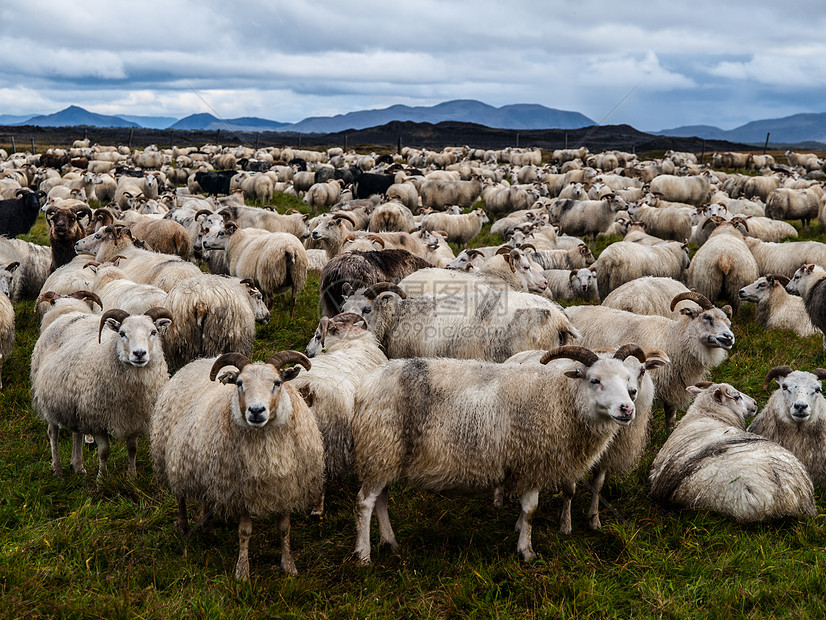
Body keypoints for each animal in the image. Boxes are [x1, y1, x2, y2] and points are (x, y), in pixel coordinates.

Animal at [31, 308, 172, 478]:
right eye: (122, 333)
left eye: (153, 332)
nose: (139, 354)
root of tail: (68, 314)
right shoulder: (96, 419)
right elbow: (104, 452)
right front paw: (102, 479)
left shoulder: (135, 419)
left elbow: (132, 449)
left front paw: (131, 476)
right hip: (49, 399)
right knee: (53, 433)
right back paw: (57, 469)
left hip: (75, 403)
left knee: (76, 433)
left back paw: (78, 466)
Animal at [150, 352, 324, 580]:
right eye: (240, 383)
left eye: (277, 382)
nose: (256, 410)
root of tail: (199, 361)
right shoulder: (240, 493)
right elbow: (245, 531)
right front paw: (242, 571)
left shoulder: (285, 488)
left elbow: (284, 528)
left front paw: (289, 566)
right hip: (175, 460)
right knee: (180, 497)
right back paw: (185, 527)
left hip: (208, 468)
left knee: (206, 497)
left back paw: (208, 528)